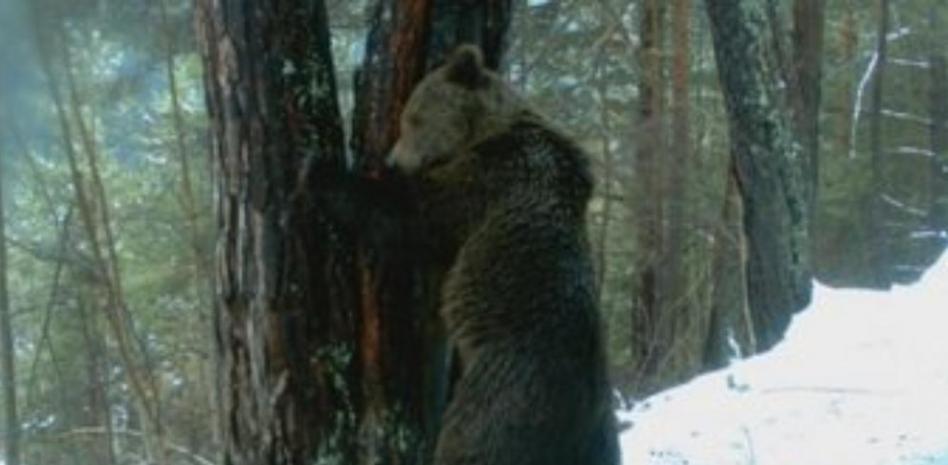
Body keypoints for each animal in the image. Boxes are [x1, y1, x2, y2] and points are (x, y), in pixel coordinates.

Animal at [390, 45, 620, 465]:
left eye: (412, 118)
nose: (392, 161)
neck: (488, 128)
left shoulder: (494, 177)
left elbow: (422, 215)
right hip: (596, 438)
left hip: (498, 403)